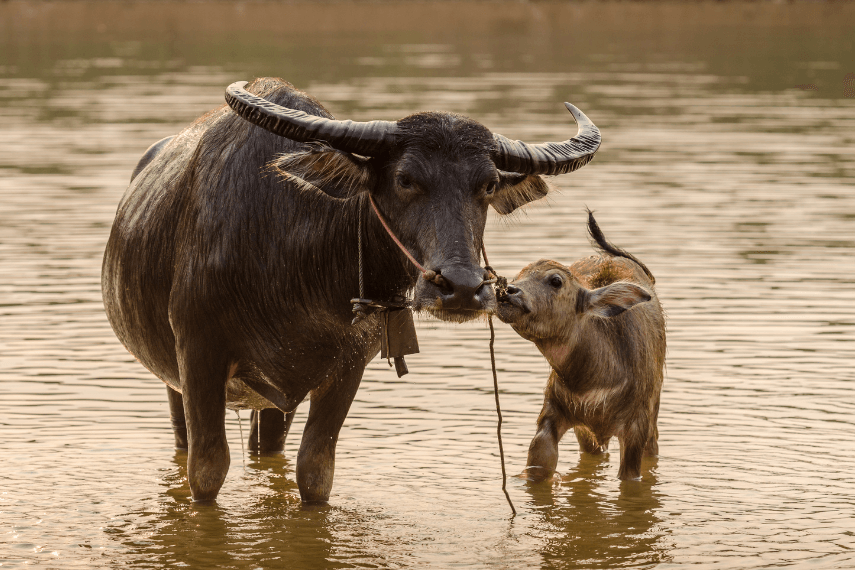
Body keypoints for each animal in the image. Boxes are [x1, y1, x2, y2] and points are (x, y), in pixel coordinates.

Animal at [102, 76, 600, 502]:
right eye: (405, 178)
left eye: (489, 184)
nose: (461, 288)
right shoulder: (198, 354)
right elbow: (206, 471)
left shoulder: (348, 366)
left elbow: (315, 471)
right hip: (174, 378)